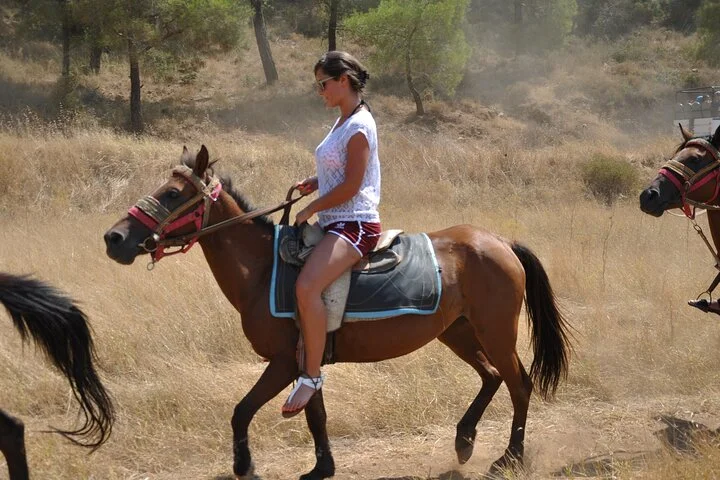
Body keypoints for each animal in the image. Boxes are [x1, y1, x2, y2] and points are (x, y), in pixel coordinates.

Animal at [103, 145, 572, 479]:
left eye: (172, 194)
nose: (114, 238)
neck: (264, 269)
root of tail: (501, 242)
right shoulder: (306, 360)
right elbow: (316, 415)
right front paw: (322, 468)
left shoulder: (283, 360)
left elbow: (242, 410)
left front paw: (245, 466)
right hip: (457, 331)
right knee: (491, 377)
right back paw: (464, 440)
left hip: (496, 333)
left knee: (519, 384)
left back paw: (509, 457)